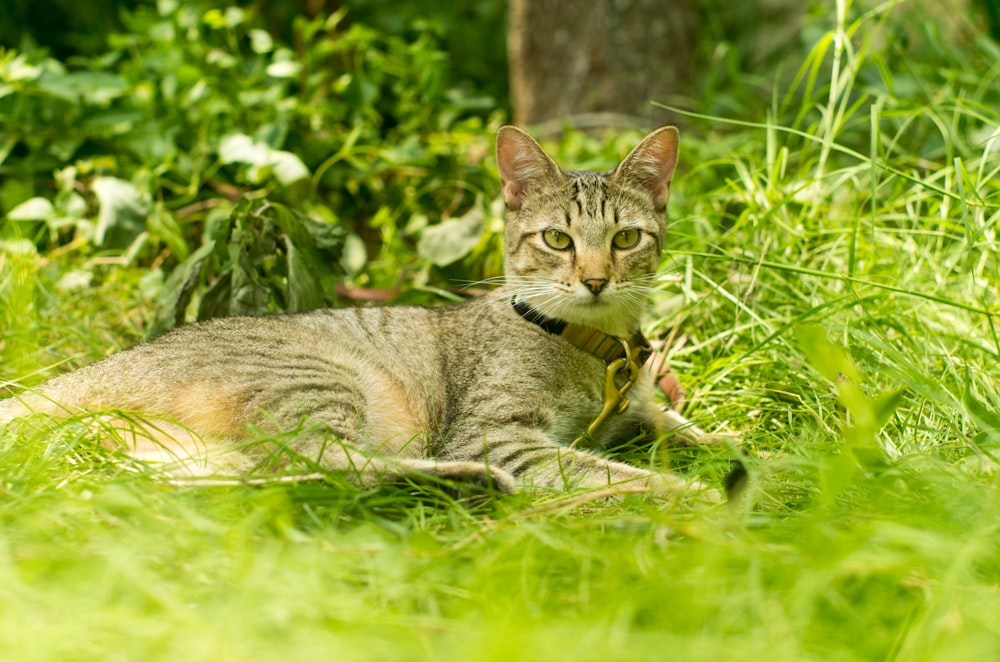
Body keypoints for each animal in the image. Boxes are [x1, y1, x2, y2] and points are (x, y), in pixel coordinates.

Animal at [0, 126, 724, 498]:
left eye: (625, 239)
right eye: (557, 240)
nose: (596, 280)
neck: (597, 347)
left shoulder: (640, 409)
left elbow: (691, 429)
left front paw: (736, 451)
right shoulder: (498, 433)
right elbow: (611, 470)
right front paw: (707, 495)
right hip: (323, 382)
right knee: (313, 464)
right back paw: (469, 481)